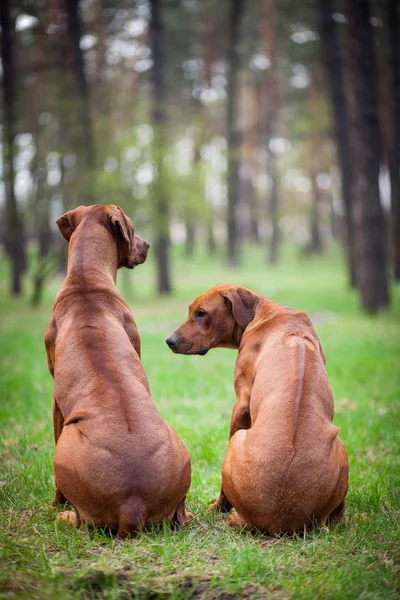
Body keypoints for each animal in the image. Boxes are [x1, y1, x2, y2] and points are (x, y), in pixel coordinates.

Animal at [45, 204, 192, 536]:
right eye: (134, 229)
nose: (148, 245)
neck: (86, 281)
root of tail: (131, 504)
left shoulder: (56, 403)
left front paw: (56, 503)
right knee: (180, 513)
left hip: (66, 449)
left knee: (80, 520)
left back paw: (63, 516)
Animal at [166, 284, 346, 536]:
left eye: (201, 313)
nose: (169, 341)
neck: (265, 315)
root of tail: (281, 521)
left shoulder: (240, 406)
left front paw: (218, 507)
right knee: (337, 517)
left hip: (237, 441)